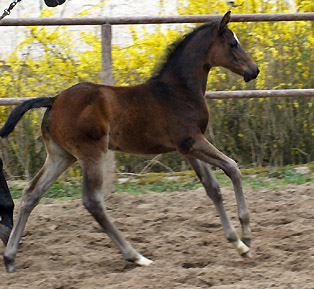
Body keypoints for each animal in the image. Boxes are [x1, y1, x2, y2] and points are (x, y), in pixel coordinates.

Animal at [1, 11, 258, 272]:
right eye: (233, 43)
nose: (254, 70)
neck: (178, 91)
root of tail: (54, 100)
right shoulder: (193, 141)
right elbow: (232, 167)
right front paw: (246, 235)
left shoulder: (187, 148)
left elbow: (212, 187)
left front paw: (238, 243)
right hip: (91, 153)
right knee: (93, 201)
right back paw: (136, 256)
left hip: (61, 156)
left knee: (32, 193)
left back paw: (10, 258)